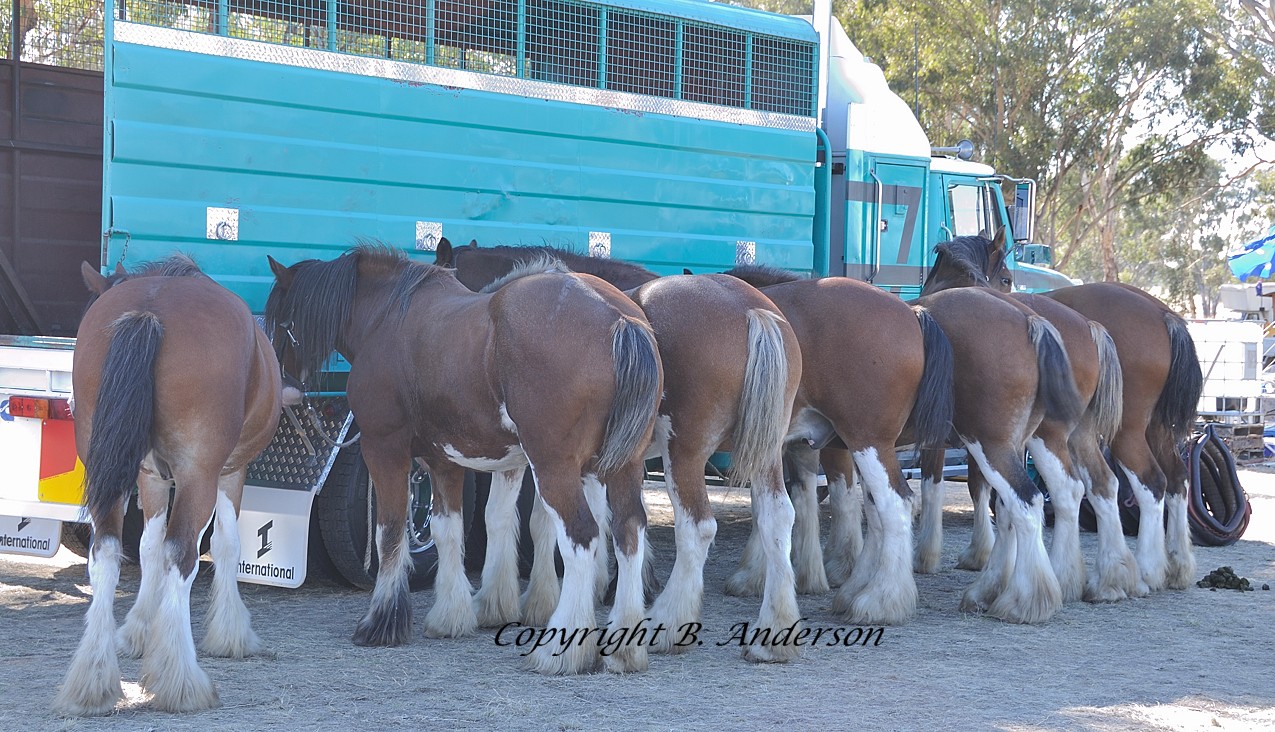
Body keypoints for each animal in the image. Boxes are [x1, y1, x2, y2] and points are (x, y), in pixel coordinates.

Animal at [54, 257, 281, 719]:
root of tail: (150, 309)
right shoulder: (230, 472)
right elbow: (226, 545)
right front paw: (230, 632)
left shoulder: (150, 476)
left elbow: (147, 547)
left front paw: (140, 629)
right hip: (199, 474)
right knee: (183, 554)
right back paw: (181, 682)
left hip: (109, 469)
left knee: (106, 552)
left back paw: (91, 682)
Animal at [261, 243, 657, 673]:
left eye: (282, 322)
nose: (282, 389)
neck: (387, 317)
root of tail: (620, 319)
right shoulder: (444, 460)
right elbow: (446, 529)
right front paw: (450, 616)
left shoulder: (384, 449)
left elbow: (390, 532)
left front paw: (381, 622)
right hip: (622, 466)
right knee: (628, 531)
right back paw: (625, 646)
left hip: (555, 467)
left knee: (582, 536)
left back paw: (561, 650)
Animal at [433, 241, 800, 663]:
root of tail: (752, 311)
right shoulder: (583, 461)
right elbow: (571, 521)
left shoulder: (543, 456)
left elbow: (514, 518)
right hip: (766, 455)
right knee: (777, 518)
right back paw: (773, 633)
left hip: (684, 454)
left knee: (698, 528)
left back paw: (667, 623)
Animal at [719, 265, 958, 624]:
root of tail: (911, 313)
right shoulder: (789, 446)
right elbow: (786, 503)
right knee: (876, 512)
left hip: (868, 442)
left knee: (896, 505)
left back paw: (882, 600)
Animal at [923, 237, 1142, 607]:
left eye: (1007, 279)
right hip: (1075, 435)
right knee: (1099, 485)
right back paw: (1105, 581)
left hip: (1040, 437)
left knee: (1054, 493)